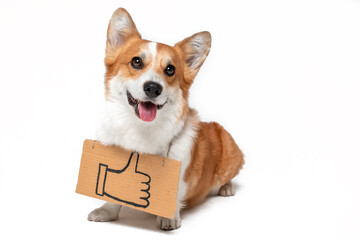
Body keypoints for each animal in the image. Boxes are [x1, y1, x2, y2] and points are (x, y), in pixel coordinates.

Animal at [87, 7, 245, 231]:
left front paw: (168, 218)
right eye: (136, 61)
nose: (153, 88)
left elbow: (175, 193)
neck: (141, 128)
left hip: (229, 151)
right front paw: (107, 210)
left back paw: (226, 188)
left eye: (170, 70)